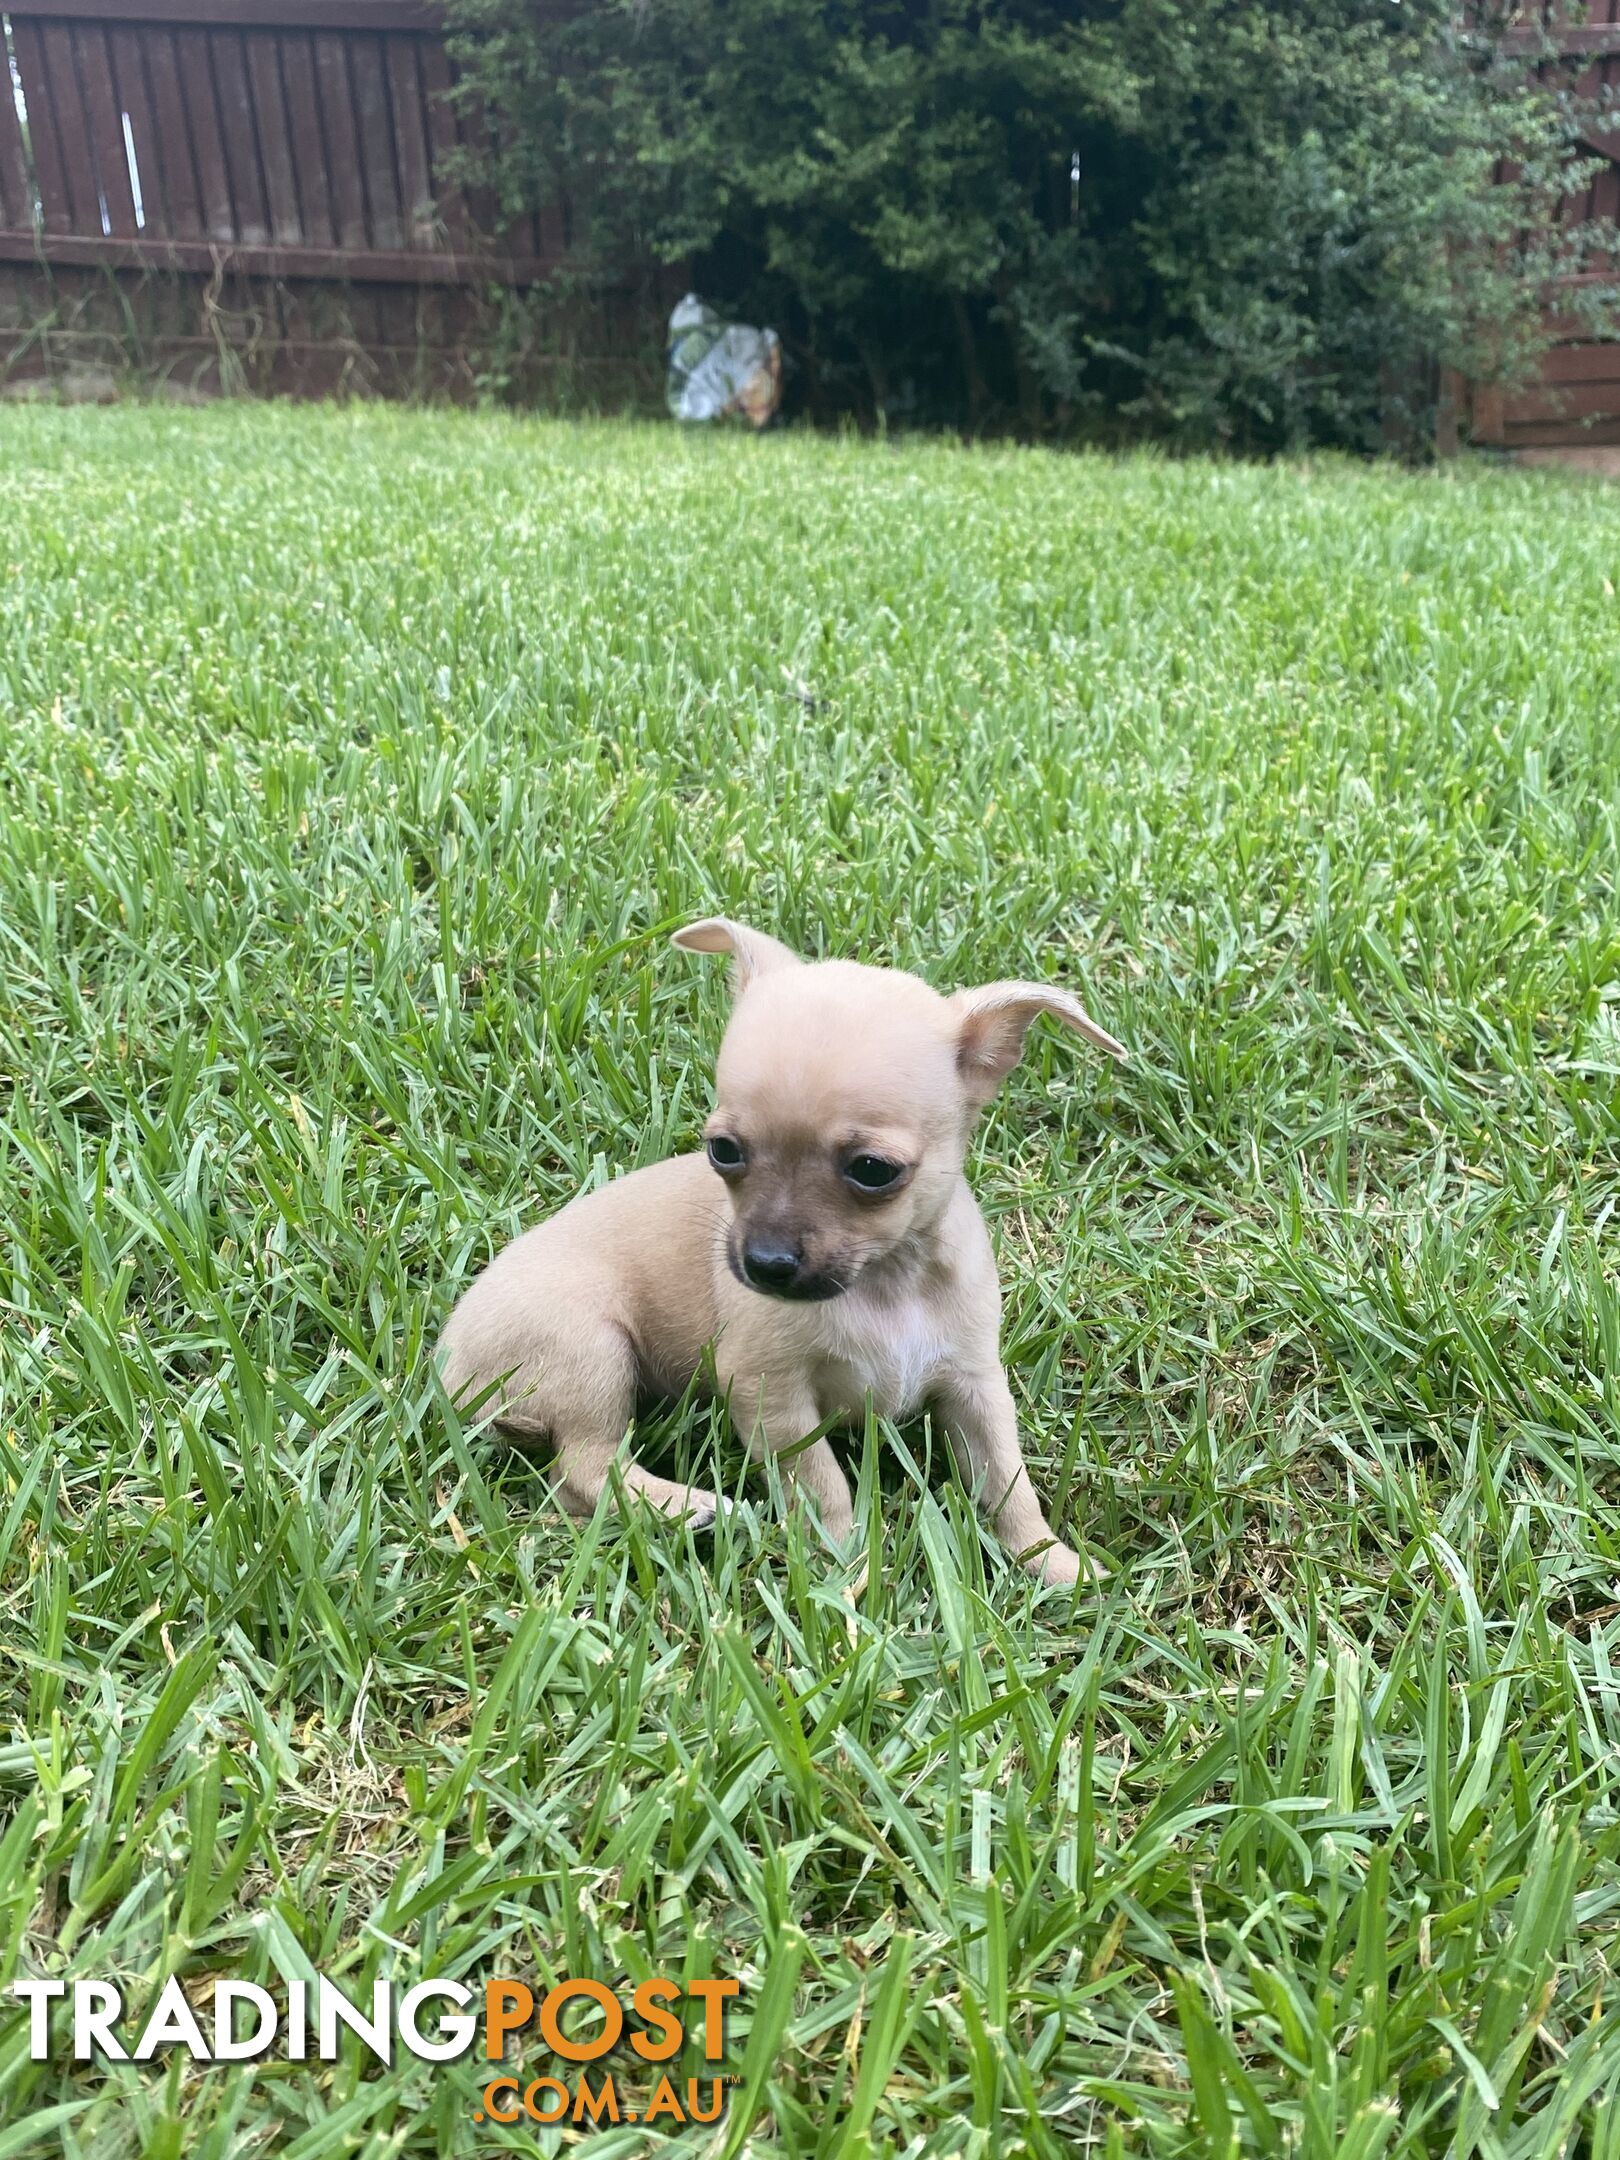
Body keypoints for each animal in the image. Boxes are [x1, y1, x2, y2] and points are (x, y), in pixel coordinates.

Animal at [444, 915, 1131, 1589]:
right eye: (723, 1151)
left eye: (873, 1171)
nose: (765, 1265)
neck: (886, 1282)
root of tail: (446, 1364)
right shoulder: (773, 1400)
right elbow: (824, 1486)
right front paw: (849, 1571)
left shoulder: (975, 1388)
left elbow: (1008, 1484)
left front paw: (1050, 1561)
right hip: (591, 1349)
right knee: (587, 1466)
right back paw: (689, 1505)